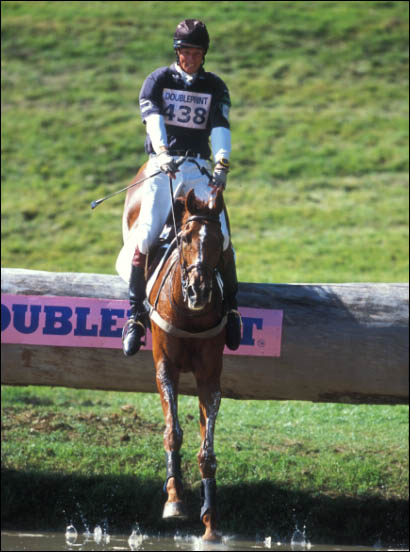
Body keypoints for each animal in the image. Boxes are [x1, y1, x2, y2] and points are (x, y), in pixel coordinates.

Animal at [121, 162, 229, 540]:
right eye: (184, 239)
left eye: (219, 241)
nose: (199, 290)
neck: (189, 313)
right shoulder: (164, 367)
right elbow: (173, 432)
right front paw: (174, 499)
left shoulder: (210, 376)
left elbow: (207, 448)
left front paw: (210, 521)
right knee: (139, 245)